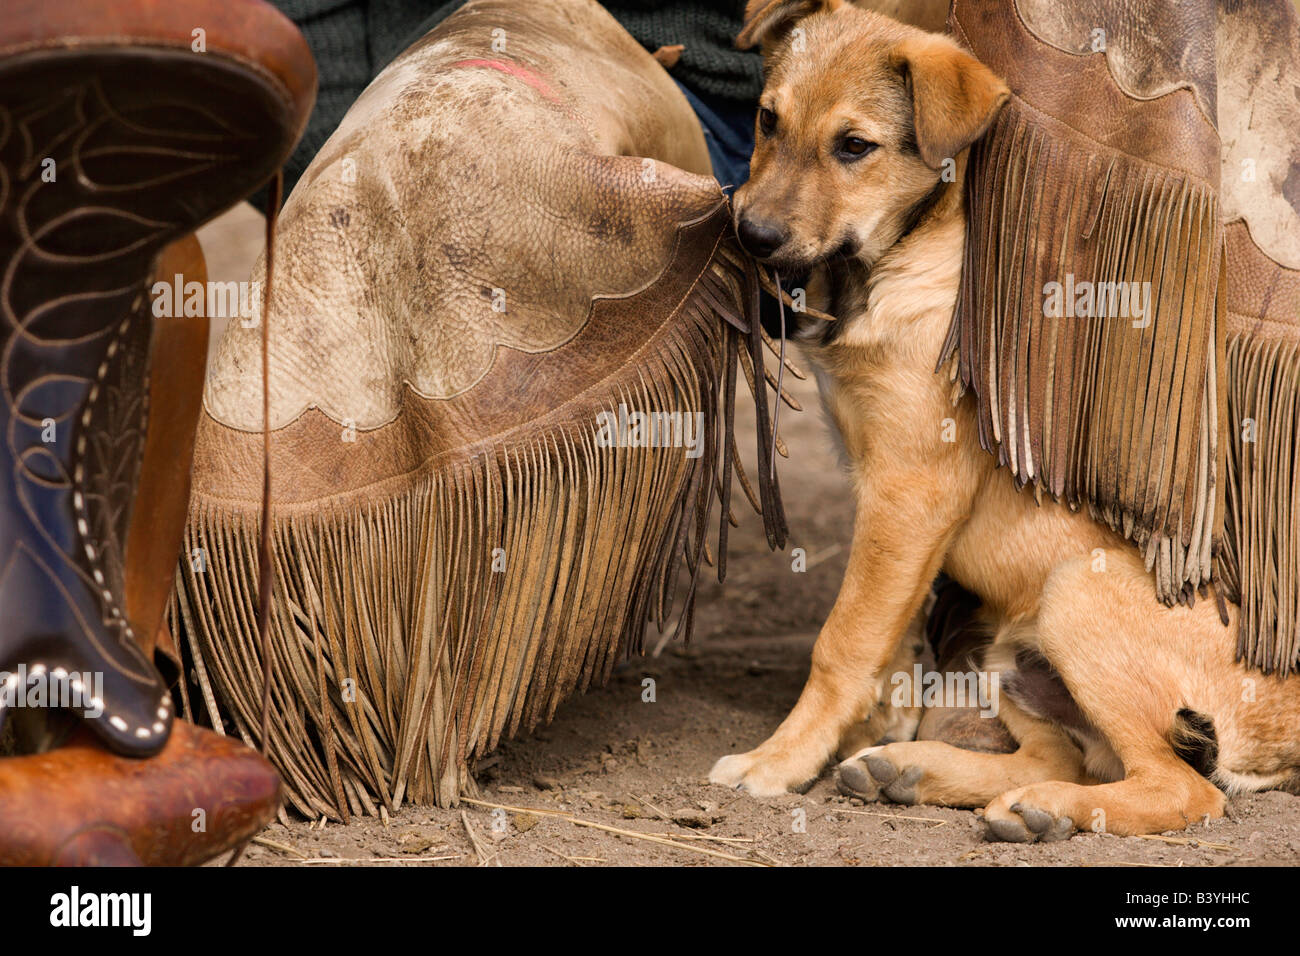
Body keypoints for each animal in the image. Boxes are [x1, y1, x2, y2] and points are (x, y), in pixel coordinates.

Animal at [712, 0, 1300, 842]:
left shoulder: (909, 491)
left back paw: (1043, 809)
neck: (900, 257)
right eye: (766, 119)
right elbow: (891, 631)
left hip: (1074, 593)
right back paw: (923, 773)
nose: (751, 236)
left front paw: (781, 759)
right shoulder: (890, 506)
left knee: (1181, 788)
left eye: (854, 146)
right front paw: (873, 727)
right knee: (1067, 757)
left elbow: (845, 639)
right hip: (1016, 657)